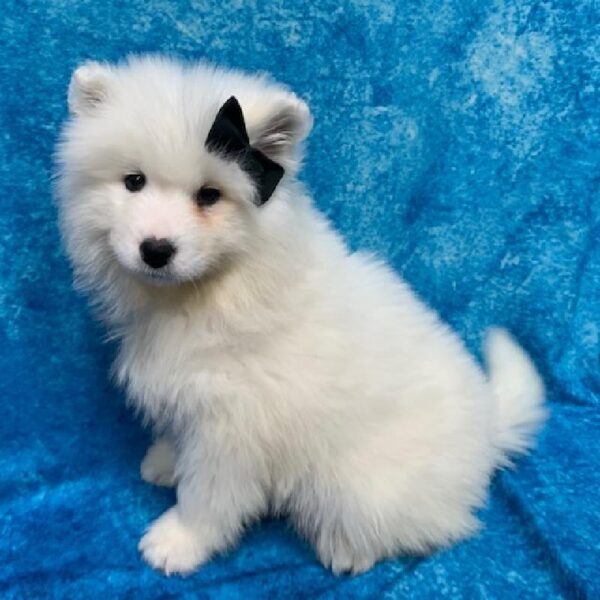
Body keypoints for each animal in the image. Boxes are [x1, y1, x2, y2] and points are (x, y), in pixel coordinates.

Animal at [55, 56, 544, 576]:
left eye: (209, 195)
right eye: (134, 182)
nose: (156, 249)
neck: (214, 289)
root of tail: (489, 429)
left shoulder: (231, 430)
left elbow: (206, 495)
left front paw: (178, 541)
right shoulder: (188, 397)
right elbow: (177, 437)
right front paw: (164, 462)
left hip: (362, 488)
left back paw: (346, 550)